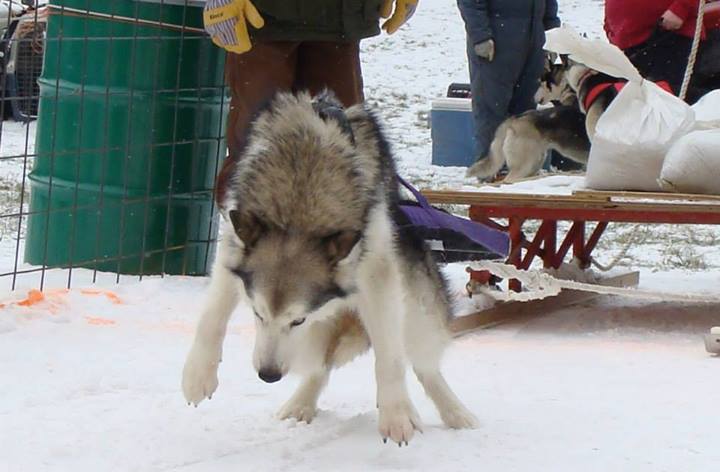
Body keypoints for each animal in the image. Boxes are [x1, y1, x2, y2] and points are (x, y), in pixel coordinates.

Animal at [181, 91, 478, 446]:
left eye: (297, 319)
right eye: (256, 314)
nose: (268, 375)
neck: (300, 197)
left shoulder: (377, 271)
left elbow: (390, 357)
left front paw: (396, 414)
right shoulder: (232, 248)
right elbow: (211, 317)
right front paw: (198, 374)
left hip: (418, 312)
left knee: (424, 365)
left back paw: (455, 412)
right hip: (317, 338)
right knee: (320, 368)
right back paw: (300, 404)